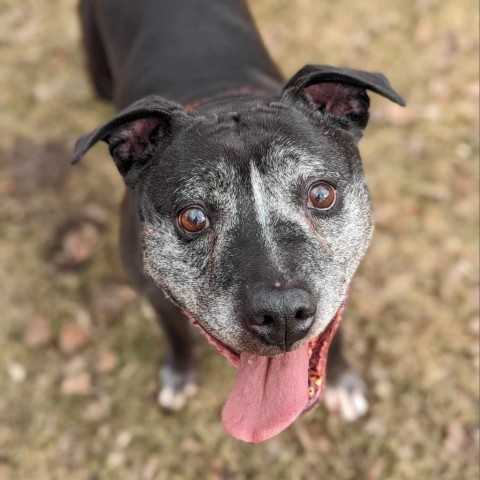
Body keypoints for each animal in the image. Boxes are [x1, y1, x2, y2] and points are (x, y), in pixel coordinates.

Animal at [74, 0, 404, 442]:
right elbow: (175, 334)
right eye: (193, 218)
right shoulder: (151, 293)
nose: (281, 314)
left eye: (321, 194)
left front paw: (341, 381)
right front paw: (179, 374)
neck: (223, 97)